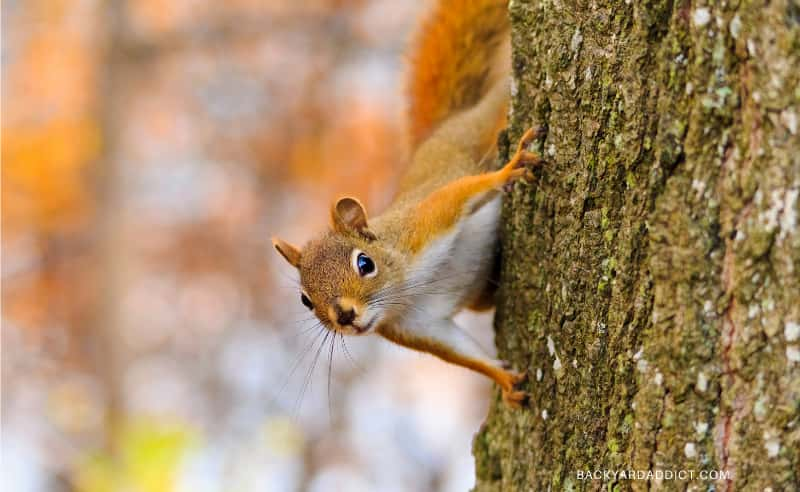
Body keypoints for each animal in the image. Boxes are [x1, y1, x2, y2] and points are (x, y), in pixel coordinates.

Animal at [272, 0, 540, 408]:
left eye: (364, 264)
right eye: (305, 300)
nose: (345, 317)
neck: (404, 290)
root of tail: (438, 132)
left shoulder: (424, 224)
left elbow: (460, 195)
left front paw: (508, 171)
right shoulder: (416, 327)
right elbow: (462, 353)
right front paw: (504, 380)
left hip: (479, 127)